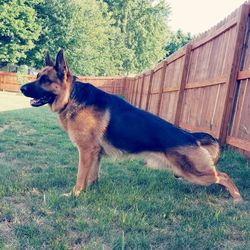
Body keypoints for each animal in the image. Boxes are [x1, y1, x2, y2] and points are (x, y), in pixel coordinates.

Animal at [20, 50, 243, 201]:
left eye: (45, 79)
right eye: (37, 76)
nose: (21, 88)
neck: (72, 97)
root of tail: (192, 136)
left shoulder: (86, 151)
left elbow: (80, 176)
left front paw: (74, 194)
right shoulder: (95, 154)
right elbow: (92, 176)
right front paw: (90, 191)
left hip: (193, 172)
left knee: (224, 175)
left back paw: (237, 197)